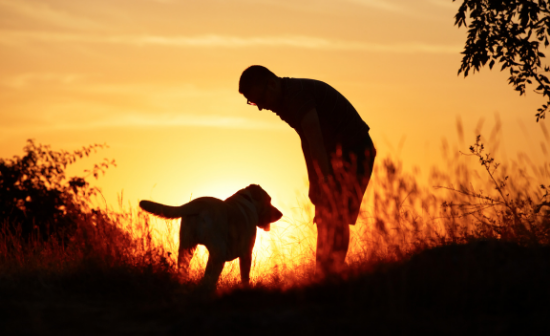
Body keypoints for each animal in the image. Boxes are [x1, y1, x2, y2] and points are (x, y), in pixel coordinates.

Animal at [140, 182, 282, 290]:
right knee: (210, 280)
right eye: (269, 200)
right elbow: (245, 277)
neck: (248, 201)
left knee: (186, 271)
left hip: (186, 248)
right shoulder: (246, 253)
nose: (280, 214)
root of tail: (200, 204)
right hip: (219, 253)